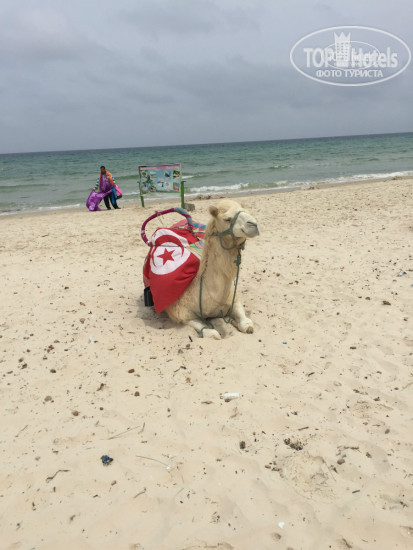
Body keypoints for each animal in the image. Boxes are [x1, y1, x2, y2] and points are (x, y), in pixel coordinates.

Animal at [165, 199, 259, 339]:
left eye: (247, 212)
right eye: (227, 219)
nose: (254, 225)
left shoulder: (233, 296)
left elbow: (246, 323)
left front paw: (242, 323)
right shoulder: (179, 312)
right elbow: (211, 333)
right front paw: (213, 331)